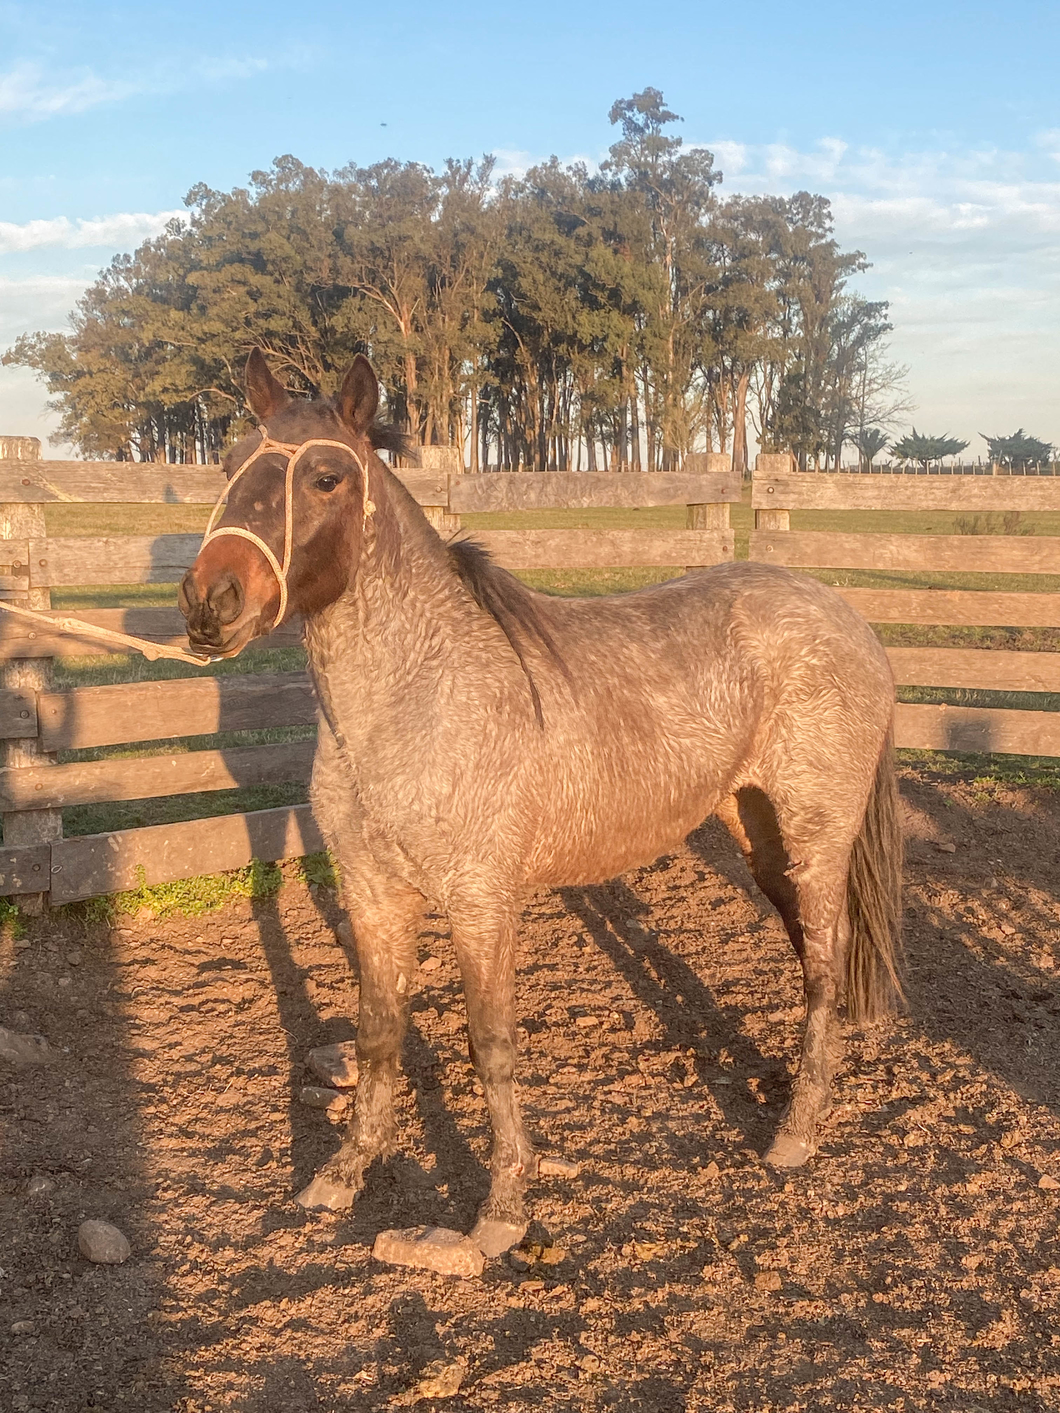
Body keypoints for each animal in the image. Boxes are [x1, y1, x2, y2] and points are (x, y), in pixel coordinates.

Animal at [178, 347, 898, 1254]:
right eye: (230, 465)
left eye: (327, 478)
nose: (210, 601)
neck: (416, 697)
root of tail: (847, 617)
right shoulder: (373, 893)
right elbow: (379, 1035)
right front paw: (345, 1173)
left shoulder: (482, 902)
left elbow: (491, 1045)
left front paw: (503, 1208)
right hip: (757, 831)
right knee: (810, 953)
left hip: (816, 836)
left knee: (828, 962)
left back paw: (797, 1132)